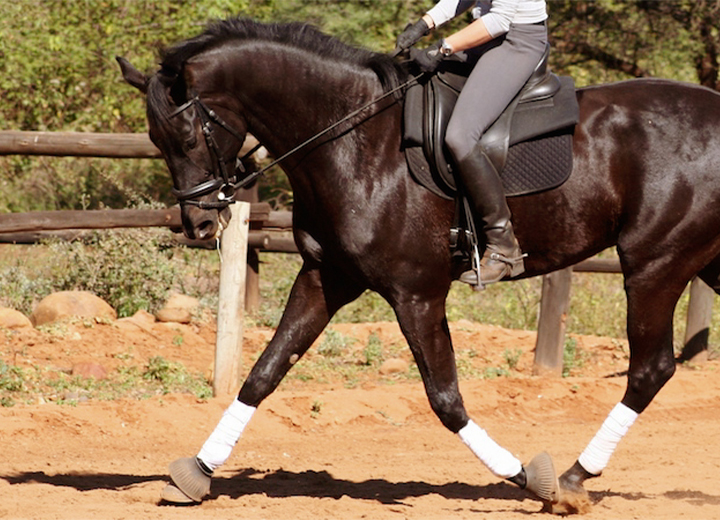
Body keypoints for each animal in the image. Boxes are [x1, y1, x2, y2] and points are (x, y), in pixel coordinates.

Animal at [118, 17, 720, 512]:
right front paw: (196, 473)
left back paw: (573, 478)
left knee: (650, 370)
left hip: (654, 264)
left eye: (189, 135)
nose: (198, 225)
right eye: (155, 139)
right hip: (701, 262)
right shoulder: (326, 278)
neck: (356, 141)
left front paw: (533, 479)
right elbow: (262, 374)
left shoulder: (417, 293)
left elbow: (446, 399)